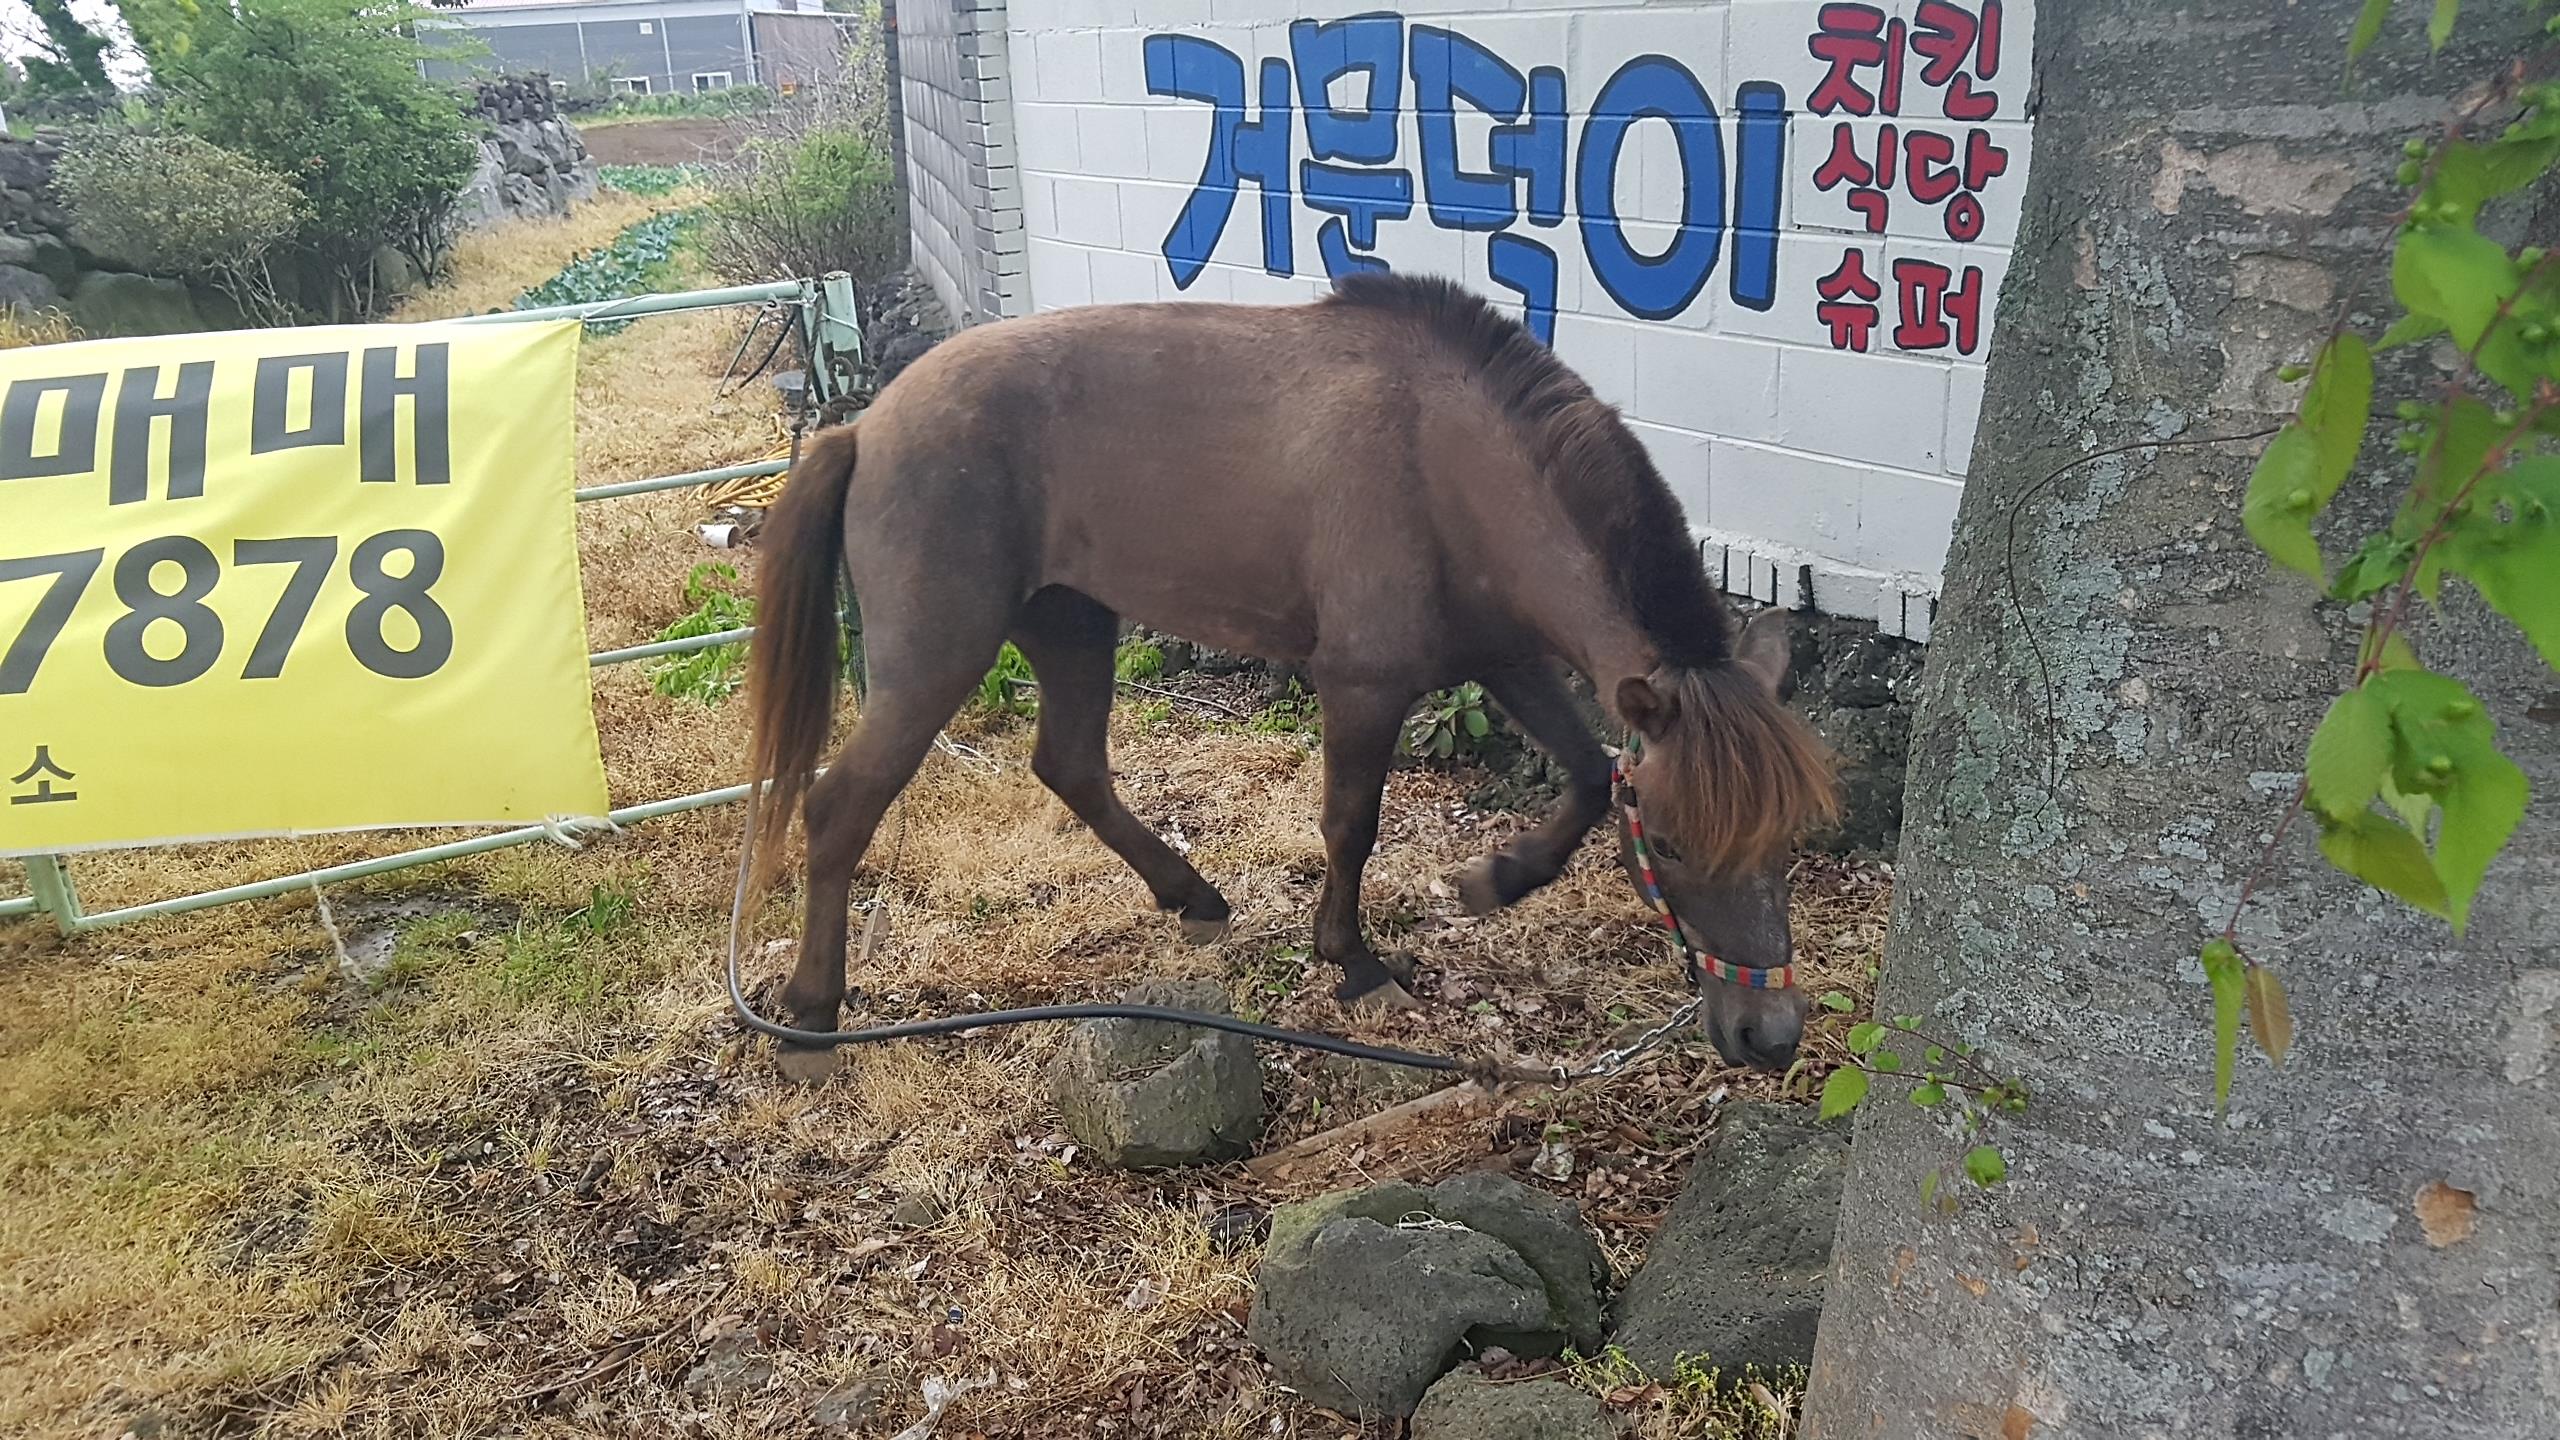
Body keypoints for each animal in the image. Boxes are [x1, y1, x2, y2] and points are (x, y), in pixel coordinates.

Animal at [742, 274, 1843, 1071]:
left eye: (1790, 837)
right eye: (1672, 842)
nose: (1769, 1038)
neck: (1450, 465)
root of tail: (863, 427)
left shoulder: (1503, 654)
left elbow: (1581, 774)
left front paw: (1497, 879)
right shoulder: (1364, 684)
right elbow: (1351, 825)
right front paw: (1351, 963)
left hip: (1071, 620)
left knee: (1071, 766)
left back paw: (1190, 896)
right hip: (938, 657)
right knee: (840, 806)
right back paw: (810, 1018)